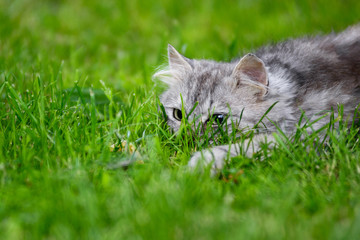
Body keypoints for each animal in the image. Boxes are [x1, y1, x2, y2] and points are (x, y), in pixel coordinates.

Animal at [153, 24, 360, 173]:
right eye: (178, 115)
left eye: (218, 119)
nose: (188, 140)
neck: (293, 90)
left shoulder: (315, 130)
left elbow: (249, 145)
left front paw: (200, 163)